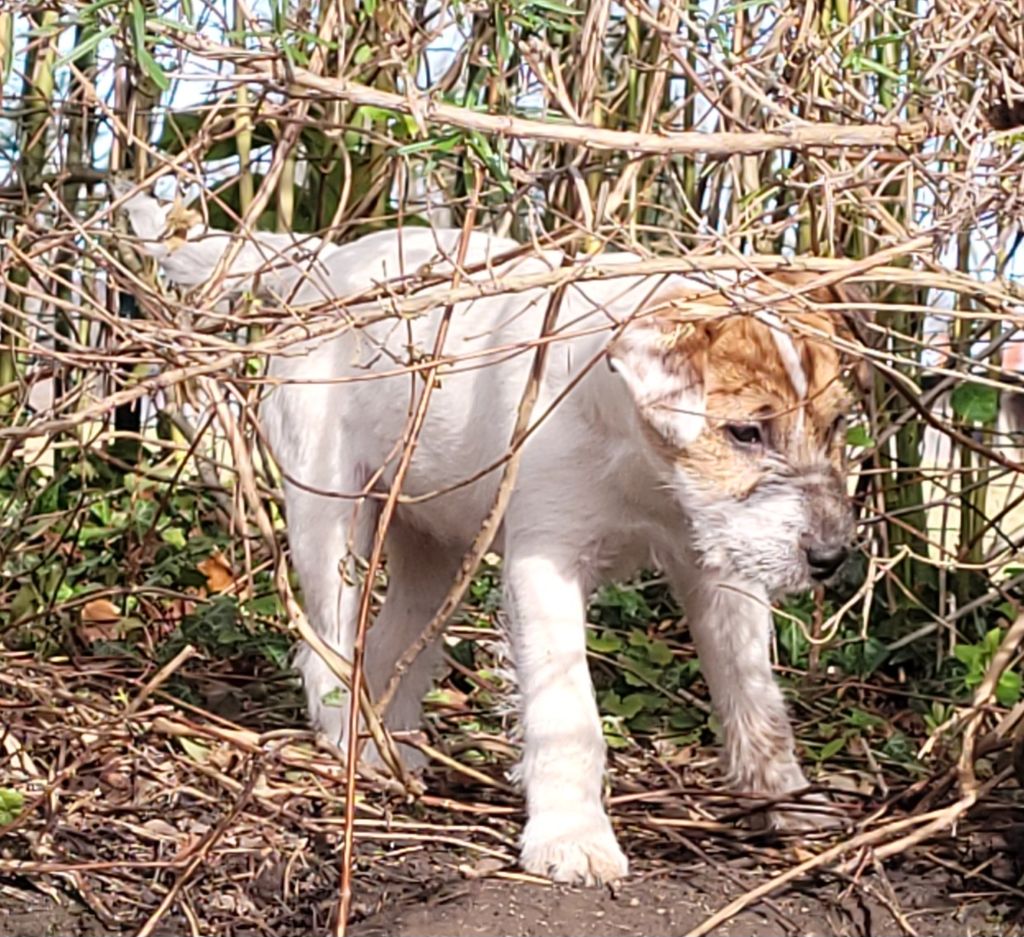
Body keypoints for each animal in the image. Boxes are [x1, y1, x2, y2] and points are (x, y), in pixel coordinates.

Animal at [122, 193, 862, 885]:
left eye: (834, 424)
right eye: (746, 432)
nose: (831, 558)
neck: (644, 467)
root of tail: (329, 267)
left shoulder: (718, 566)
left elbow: (752, 689)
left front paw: (786, 797)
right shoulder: (546, 566)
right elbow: (568, 713)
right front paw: (572, 838)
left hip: (434, 549)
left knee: (390, 649)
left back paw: (393, 751)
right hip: (332, 517)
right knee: (328, 651)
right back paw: (353, 750)